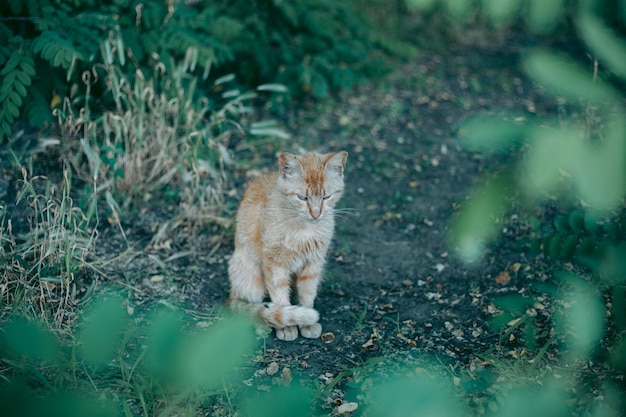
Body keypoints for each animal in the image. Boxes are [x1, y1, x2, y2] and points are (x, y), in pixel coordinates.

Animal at [227, 151, 348, 340]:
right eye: (302, 197)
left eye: (326, 197)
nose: (316, 214)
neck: (305, 230)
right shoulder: (274, 265)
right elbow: (280, 298)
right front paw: (286, 327)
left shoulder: (313, 265)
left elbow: (307, 294)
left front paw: (307, 322)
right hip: (250, 275)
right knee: (249, 307)